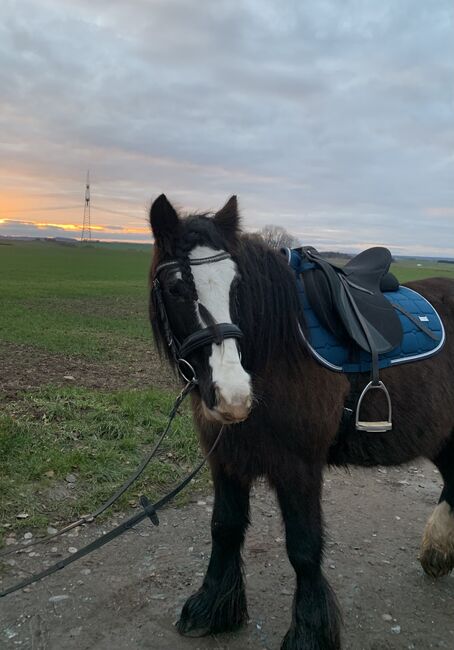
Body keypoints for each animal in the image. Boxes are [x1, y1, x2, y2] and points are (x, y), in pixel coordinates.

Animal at [149, 194, 454, 648]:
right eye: (175, 287)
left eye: (236, 286)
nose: (233, 395)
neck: (278, 348)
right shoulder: (227, 459)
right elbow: (224, 527)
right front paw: (212, 607)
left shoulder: (299, 467)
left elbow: (304, 548)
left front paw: (310, 631)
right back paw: (438, 551)